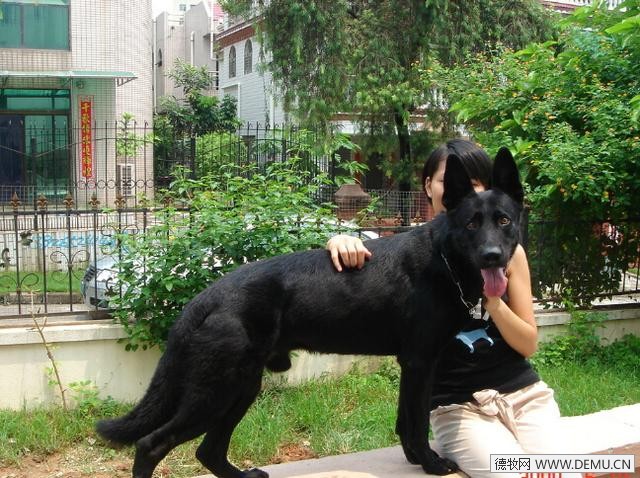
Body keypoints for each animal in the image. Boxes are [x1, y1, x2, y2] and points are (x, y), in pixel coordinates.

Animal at [96, 147, 524, 478]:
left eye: (504, 220)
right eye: (471, 224)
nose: (492, 256)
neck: (444, 257)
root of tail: (204, 298)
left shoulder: (412, 366)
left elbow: (405, 422)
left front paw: (414, 460)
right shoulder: (420, 363)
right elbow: (417, 424)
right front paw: (431, 464)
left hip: (242, 387)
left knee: (208, 451)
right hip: (217, 391)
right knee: (152, 444)